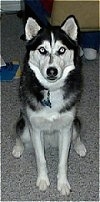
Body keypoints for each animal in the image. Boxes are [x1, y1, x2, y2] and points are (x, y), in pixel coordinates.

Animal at [12, 15, 86, 196]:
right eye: (42, 50)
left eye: (62, 50)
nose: (52, 71)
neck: (51, 90)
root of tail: (51, 143)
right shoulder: (35, 129)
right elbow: (41, 159)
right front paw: (43, 181)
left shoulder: (66, 129)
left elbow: (62, 162)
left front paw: (63, 183)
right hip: (25, 128)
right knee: (18, 131)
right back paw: (18, 148)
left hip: (74, 125)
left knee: (77, 133)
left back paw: (80, 147)